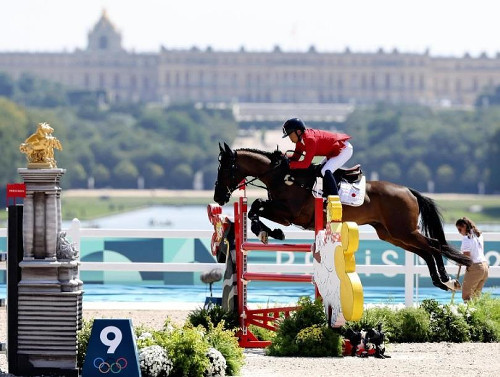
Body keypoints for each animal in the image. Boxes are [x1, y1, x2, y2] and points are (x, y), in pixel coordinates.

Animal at [215, 142, 472, 290]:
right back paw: (440, 281)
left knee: (434, 245)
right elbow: (255, 208)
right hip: (392, 235)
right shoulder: (283, 212)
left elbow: (257, 206)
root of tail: (408, 191)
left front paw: (268, 232)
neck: (283, 176)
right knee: (426, 251)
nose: (218, 197)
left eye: (224, 168)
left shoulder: (290, 214)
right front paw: (269, 232)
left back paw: (446, 279)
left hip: (404, 231)